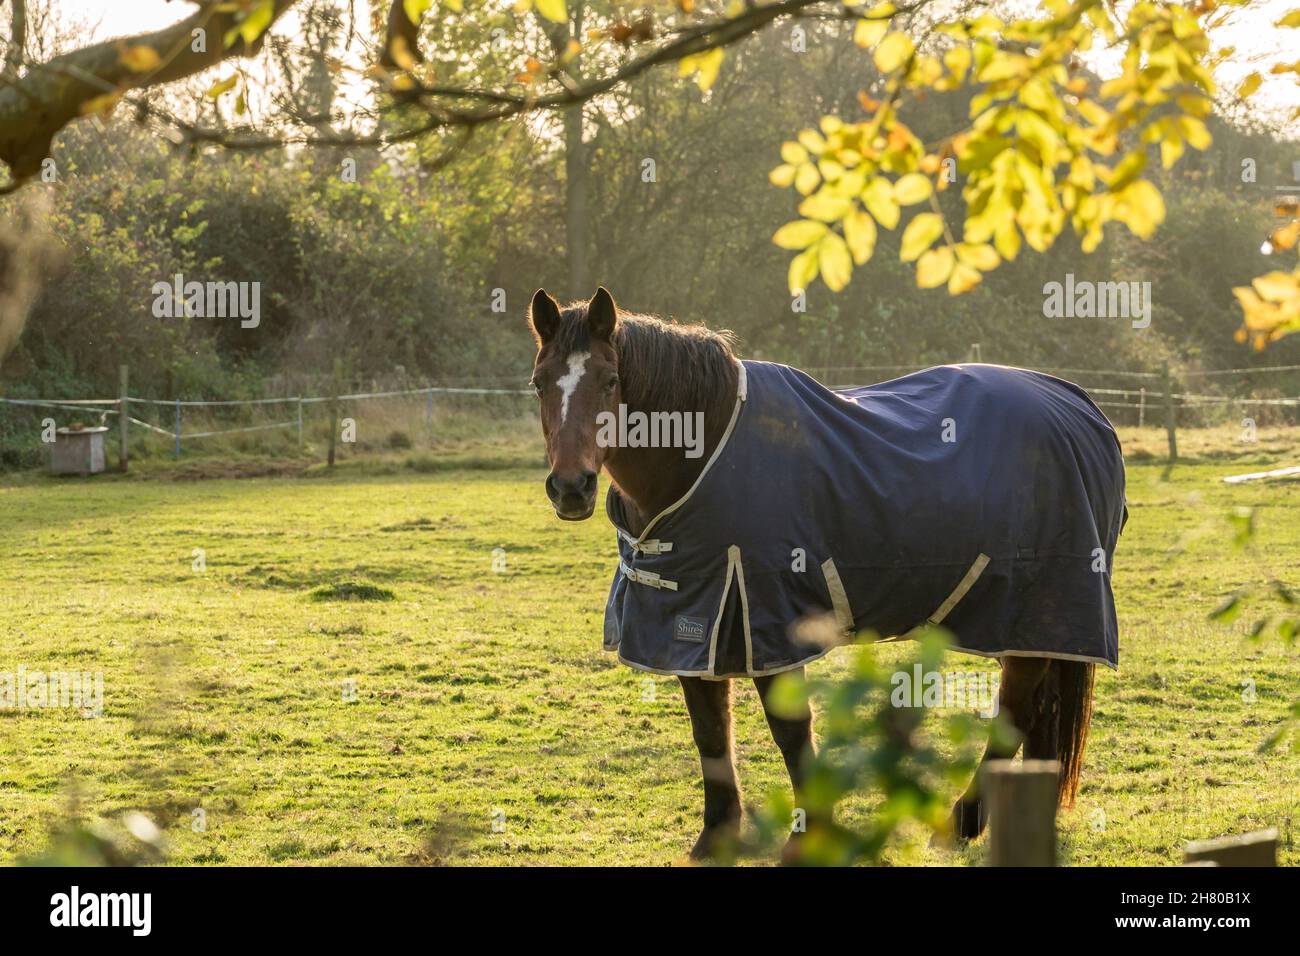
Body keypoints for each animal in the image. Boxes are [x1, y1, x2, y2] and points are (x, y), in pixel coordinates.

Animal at [527, 283, 1097, 858]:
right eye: (539, 382)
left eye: (610, 380)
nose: (571, 488)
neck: (701, 456)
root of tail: (1073, 402)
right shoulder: (689, 623)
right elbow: (710, 731)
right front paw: (716, 837)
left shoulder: (767, 623)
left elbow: (791, 732)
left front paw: (807, 838)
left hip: (1033, 616)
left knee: (1015, 713)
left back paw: (962, 822)